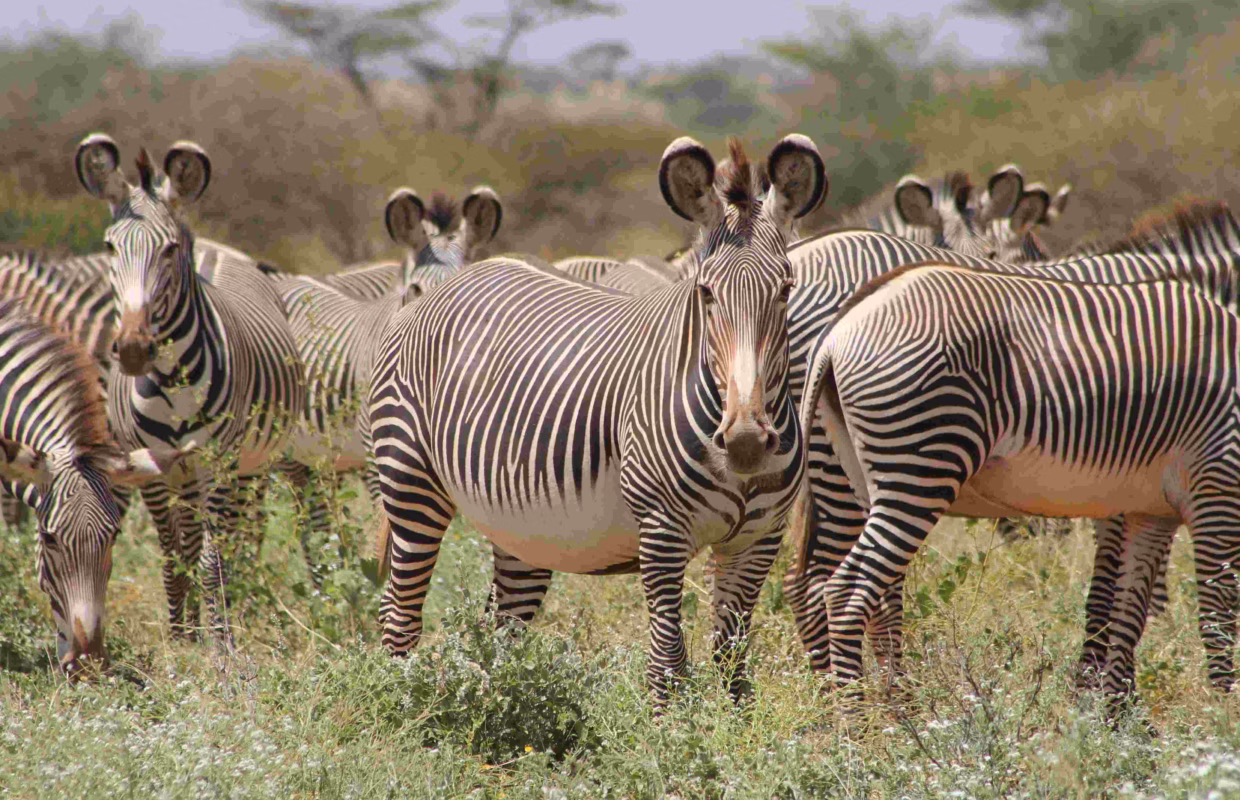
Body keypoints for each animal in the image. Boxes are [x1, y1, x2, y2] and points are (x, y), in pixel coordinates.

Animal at [74, 132, 305, 644]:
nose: (134, 349)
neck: (171, 380)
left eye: (169, 249)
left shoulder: (217, 463)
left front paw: (220, 639)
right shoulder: (151, 469)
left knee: (242, 537)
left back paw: (237, 604)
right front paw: (182, 634)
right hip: (186, 476)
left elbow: (212, 560)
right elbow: (174, 555)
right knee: (196, 536)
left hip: (249, 467)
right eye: (109, 248)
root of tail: (217, 252)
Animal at [369, 135, 827, 702]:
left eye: (786, 289)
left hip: (521, 524)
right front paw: (673, 727)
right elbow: (667, 665)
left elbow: (734, 669)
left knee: (501, 626)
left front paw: (732, 724)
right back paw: (402, 704)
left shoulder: (758, 539)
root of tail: (449, 285)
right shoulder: (662, 530)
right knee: (400, 613)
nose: (745, 440)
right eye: (705, 292)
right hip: (410, 481)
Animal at [783, 201, 1240, 685]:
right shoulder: (1193, 482)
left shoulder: (1136, 492)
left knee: (830, 584)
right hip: (883, 465)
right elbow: (1157, 602)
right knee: (827, 584)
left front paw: (1109, 692)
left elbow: (1127, 600)